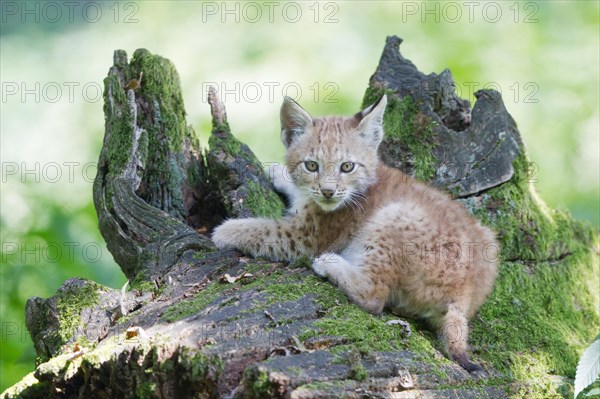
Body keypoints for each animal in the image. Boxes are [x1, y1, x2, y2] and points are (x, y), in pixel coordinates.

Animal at [213, 94, 500, 372]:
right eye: (311, 166)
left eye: (347, 167)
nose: (328, 191)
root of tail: (463, 295)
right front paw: (279, 173)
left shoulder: (306, 237)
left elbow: (264, 229)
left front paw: (224, 230)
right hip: (490, 238)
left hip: (393, 215)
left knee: (375, 298)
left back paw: (331, 264)